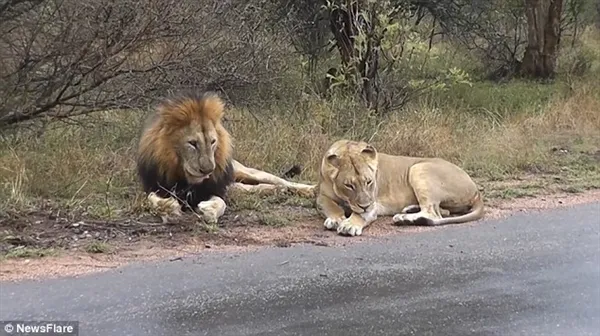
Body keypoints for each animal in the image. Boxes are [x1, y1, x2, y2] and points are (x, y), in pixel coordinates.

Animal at [135, 90, 314, 224]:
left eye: (213, 141)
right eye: (192, 143)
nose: (208, 170)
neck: (186, 179)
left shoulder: (215, 189)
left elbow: (221, 203)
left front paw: (209, 211)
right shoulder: (153, 186)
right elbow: (151, 199)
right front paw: (168, 206)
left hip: (247, 172)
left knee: (284, 181)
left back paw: (310, 190)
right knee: (252, 188)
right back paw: (276, 191)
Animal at [316, 139, 486, 236]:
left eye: (369, 182)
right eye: (349, 185)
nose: (365, 206)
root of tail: (476, 189)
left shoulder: (373, 203)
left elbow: (361, 214)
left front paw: (349, 225)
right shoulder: (322, 195)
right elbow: (331, 206)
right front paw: (336, 219)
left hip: (419, 168)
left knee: (434, 214)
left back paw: (403, 219)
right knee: (443, 212)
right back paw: (409, 210)